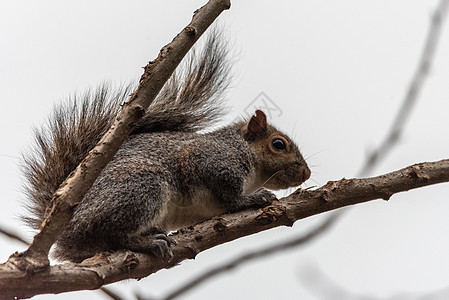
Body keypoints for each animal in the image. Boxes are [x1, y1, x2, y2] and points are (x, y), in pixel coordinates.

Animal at [22, 31, 310, 262]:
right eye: (278, 144)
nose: (306, 174)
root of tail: (65, 228)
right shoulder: (212, 158)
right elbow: (229, 193)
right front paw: (252, 199)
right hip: (140, 186)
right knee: (114, 234)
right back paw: (146, 242)